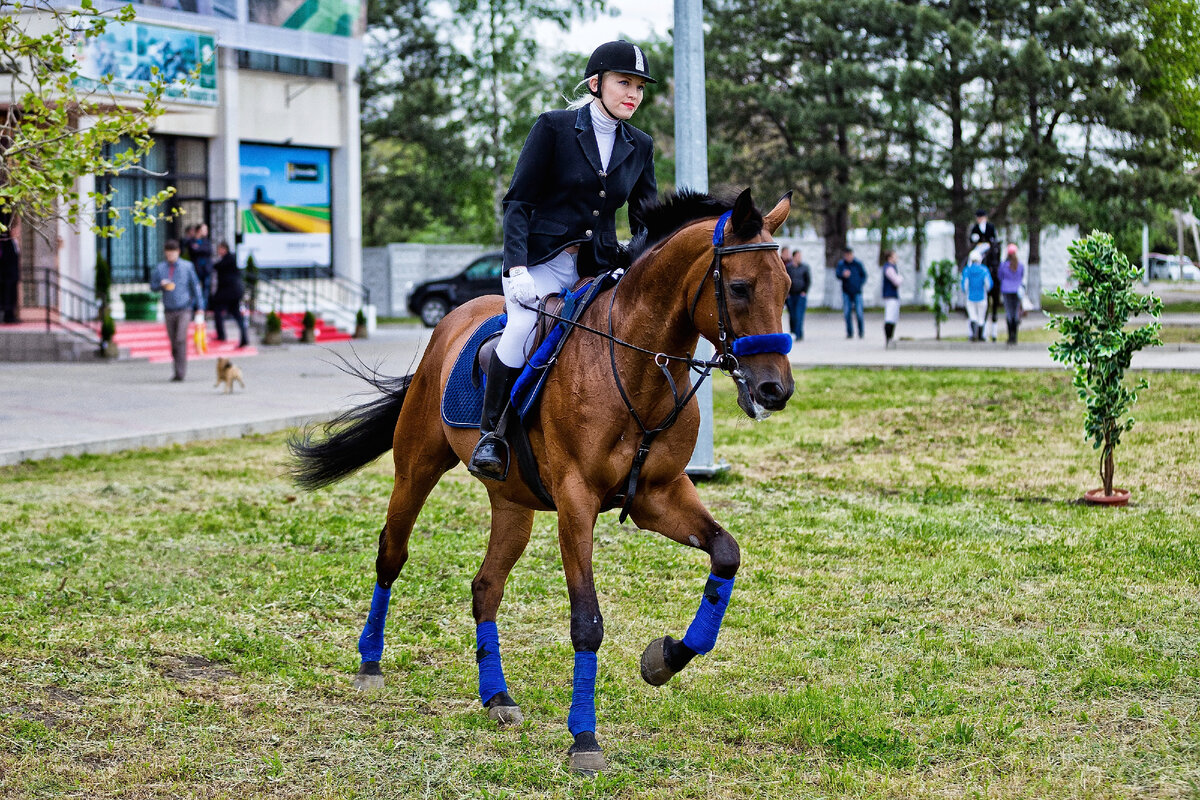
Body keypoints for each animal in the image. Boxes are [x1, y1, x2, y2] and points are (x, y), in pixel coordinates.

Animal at [290, 188, 796, 777]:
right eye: (739, 288)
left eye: (787, 287)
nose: (775, 389)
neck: (635, 363)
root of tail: (453, 320)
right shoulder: (577, 500)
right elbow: (587, 621)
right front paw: (585, 739)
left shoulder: (659, 494)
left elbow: (725, 553)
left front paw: (664, 658)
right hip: (416, 468)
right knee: (391, 554)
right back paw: (370, 664)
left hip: (514, 501)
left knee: (485, 587)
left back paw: (497, 696)